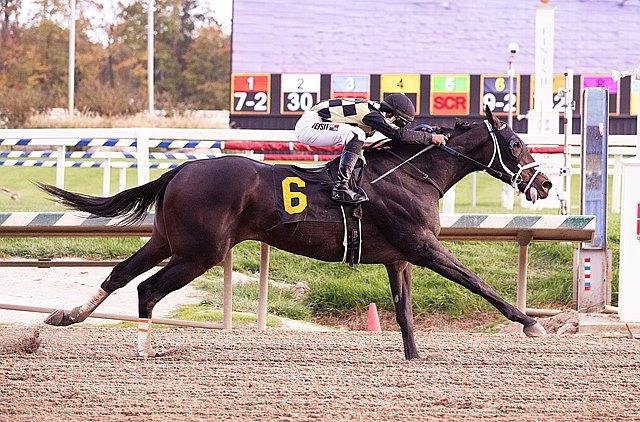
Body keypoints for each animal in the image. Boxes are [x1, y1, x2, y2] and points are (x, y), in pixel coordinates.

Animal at [40, 106, 552, 359]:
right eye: (515, 143)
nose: (545, 184)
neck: (412, 174)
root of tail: (182, 169)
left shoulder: (399, 256)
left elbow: (404, 311)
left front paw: (414, 358)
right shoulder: (423, 246)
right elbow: (476, 282)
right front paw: (531, 323)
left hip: (169, 241)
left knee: (120, 274)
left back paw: (67, 316)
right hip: (201, 252)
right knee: (146, 289)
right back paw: (145, 350)